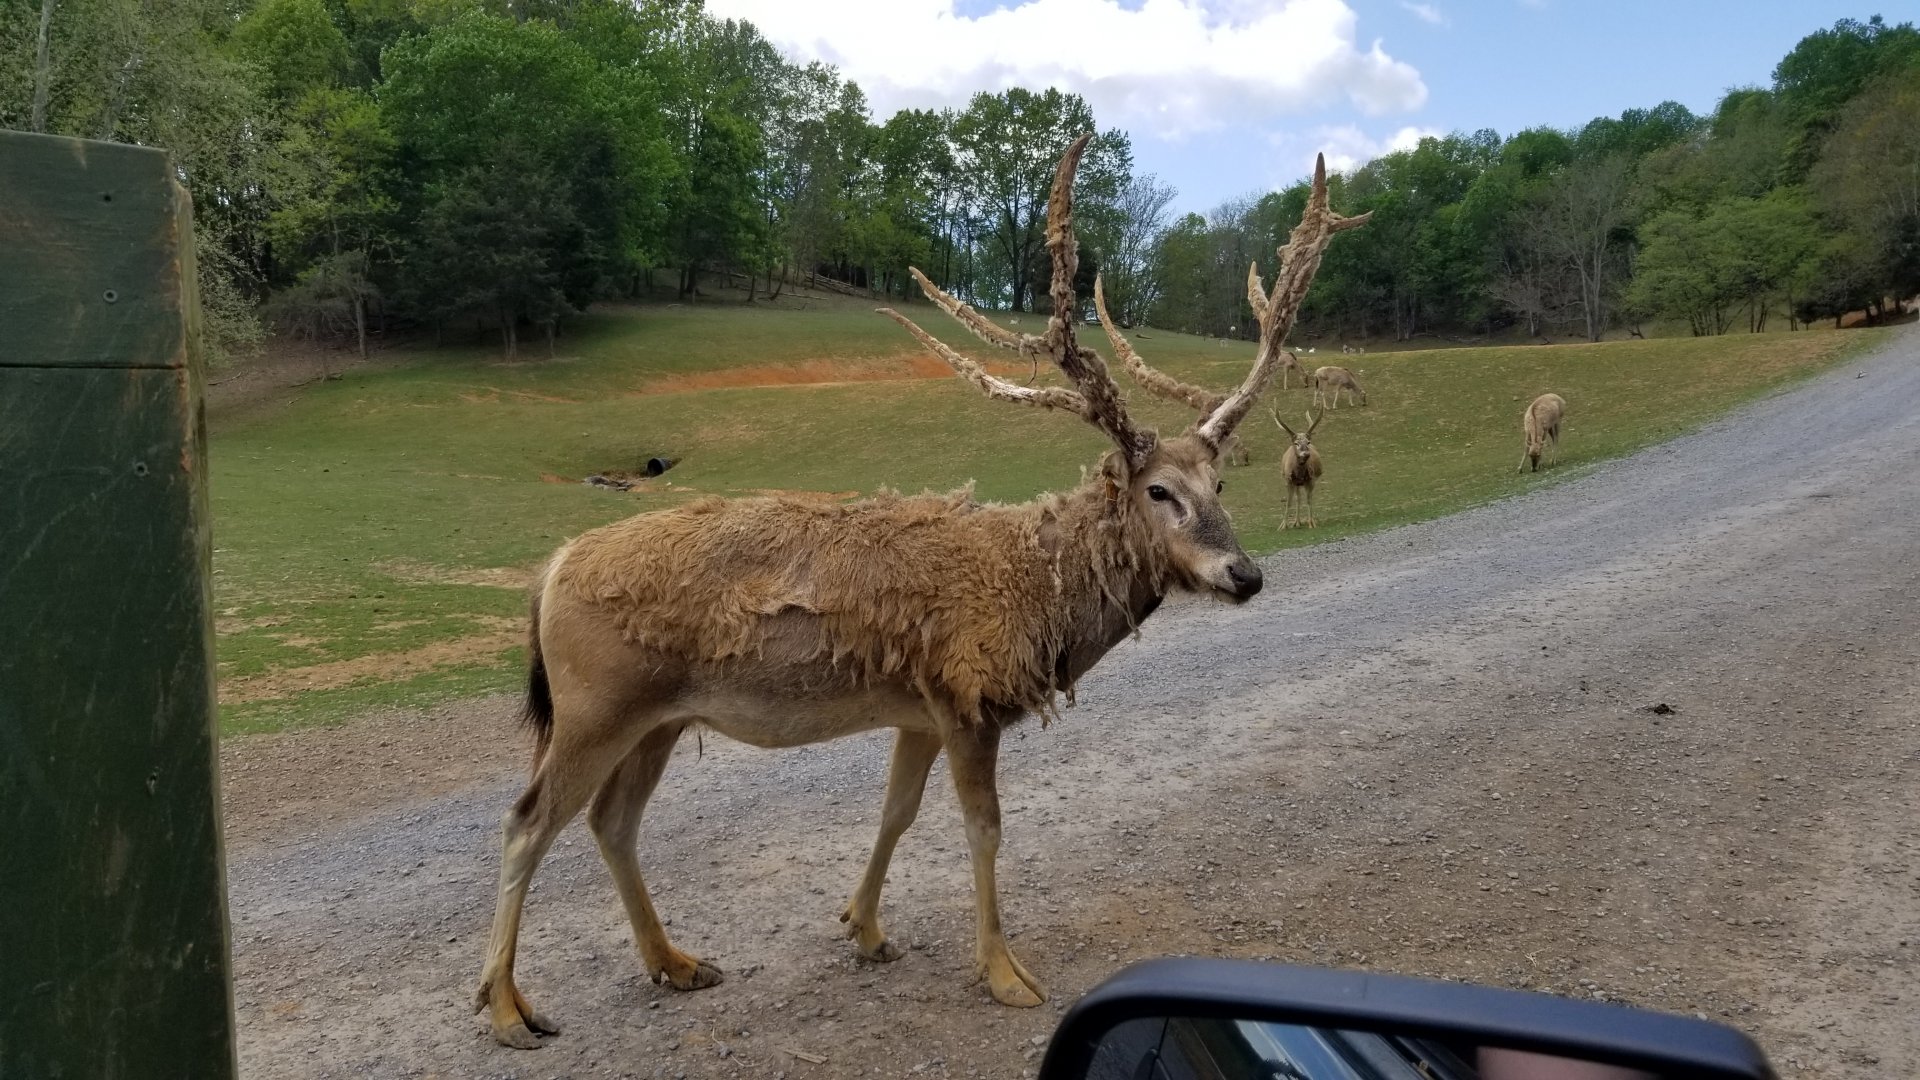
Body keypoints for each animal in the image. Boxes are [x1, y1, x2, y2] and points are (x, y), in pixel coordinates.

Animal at [472, 137, 1367, 1049]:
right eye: (1160, 492)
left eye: (1219, 483)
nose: (1244, 574)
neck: (1032, 591)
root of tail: (553, 569)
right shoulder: (969, 699)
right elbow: (983, 829)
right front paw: (1005, 973)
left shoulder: (918, 709)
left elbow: (895, 813)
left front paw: (865, 929)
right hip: (595, 706)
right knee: (526, 821)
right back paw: (508, 1007)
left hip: (657, 716)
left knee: (609, 822)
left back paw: (675, 962)